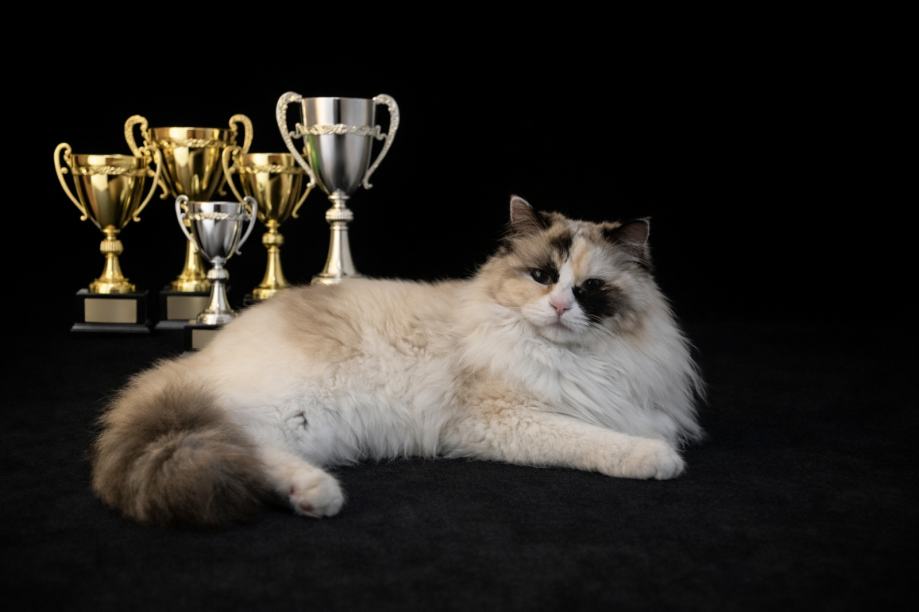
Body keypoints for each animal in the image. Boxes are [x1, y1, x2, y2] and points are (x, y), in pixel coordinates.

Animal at [91, 196, 703, 525]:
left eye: (589, 289)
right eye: (542, 277)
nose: (557, 307)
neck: (573, 360)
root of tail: (194, 362)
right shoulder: (508, 421)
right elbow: (599, 441)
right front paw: (658, 460)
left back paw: (310, 497)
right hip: (291, 411)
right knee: (242, 449)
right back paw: (322, 497)